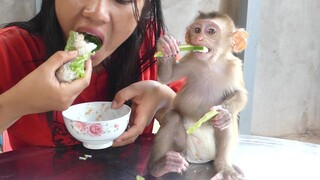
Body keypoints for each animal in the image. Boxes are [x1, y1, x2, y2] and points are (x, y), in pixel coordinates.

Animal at [149, 11, 249, 180]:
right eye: (197, 30)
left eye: (211, 31)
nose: (199, 38)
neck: (212, 63)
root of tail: (199, 159)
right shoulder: (190, 59)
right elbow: (167, 78)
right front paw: (166, 45)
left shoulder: (235, 67)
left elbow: (241, 94)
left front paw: (224, 113)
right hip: (182, 146)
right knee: (173, 117)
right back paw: (161, 166)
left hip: (214, 152)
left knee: (224, 126)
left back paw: (224, 167)